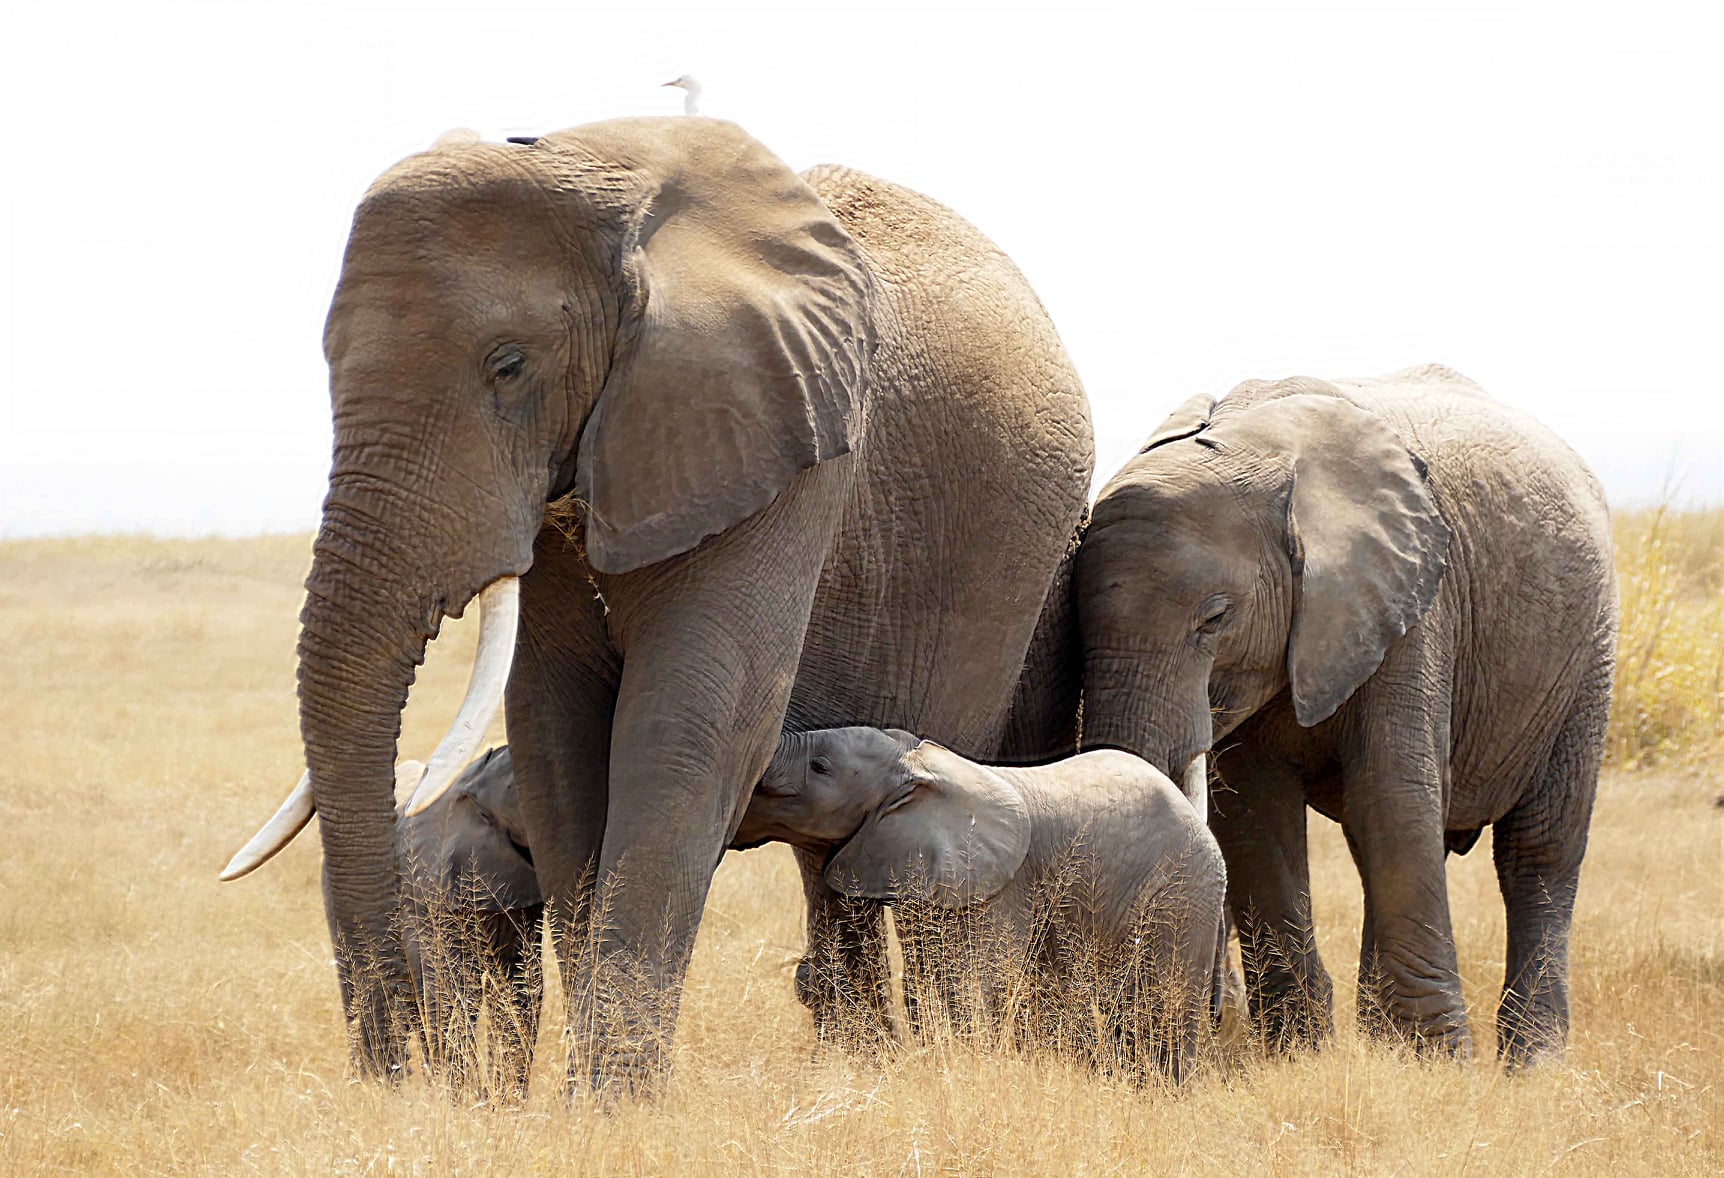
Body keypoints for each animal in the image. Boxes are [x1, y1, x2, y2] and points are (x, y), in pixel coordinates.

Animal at [734, 727, 1228, 1083]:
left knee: (1161, 1006)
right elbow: (926, 984)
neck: (917, 766)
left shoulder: (1000, 885)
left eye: (819, 766)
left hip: (1183, 894)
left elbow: (973, 983)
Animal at [1074, 365, 1616, 1066]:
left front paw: (1438, 1065)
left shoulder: (1415, 607)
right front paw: (1300, 1055)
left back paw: (1531, 1065)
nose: (1211, 1015)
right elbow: (1254, 812)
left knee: (1538, 849)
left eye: (1215, 619)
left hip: (1585, 658)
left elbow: (1392, 793)